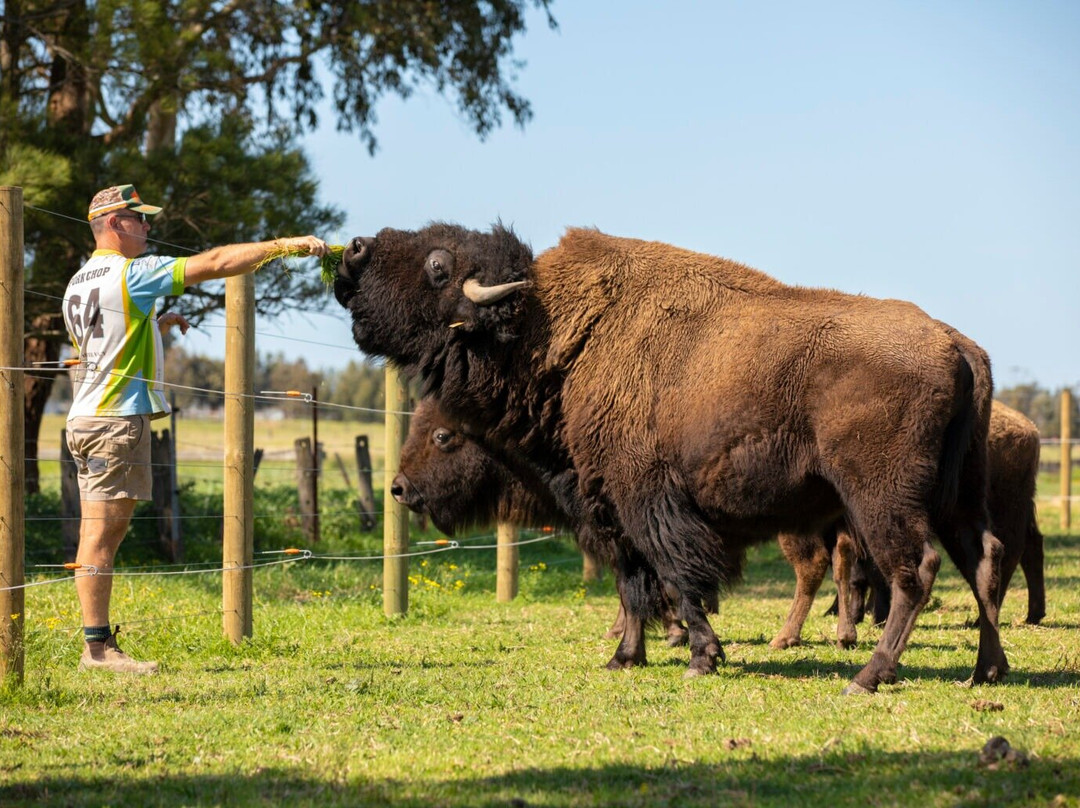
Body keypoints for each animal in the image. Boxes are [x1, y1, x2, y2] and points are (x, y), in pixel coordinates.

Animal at [332, 222, 1006, 695]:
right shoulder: (608, 505)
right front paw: (624, 658)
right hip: (958, 494)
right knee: (984, 560)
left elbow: (677, 576)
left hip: (880, 497)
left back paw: (869, 675)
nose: (353, 251)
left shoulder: (647, 501)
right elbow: (634, 583)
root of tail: (958, 344)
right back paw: (986, 670)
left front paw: (701, 659)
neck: (550, 335)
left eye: (437, 265)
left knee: (916, 569)